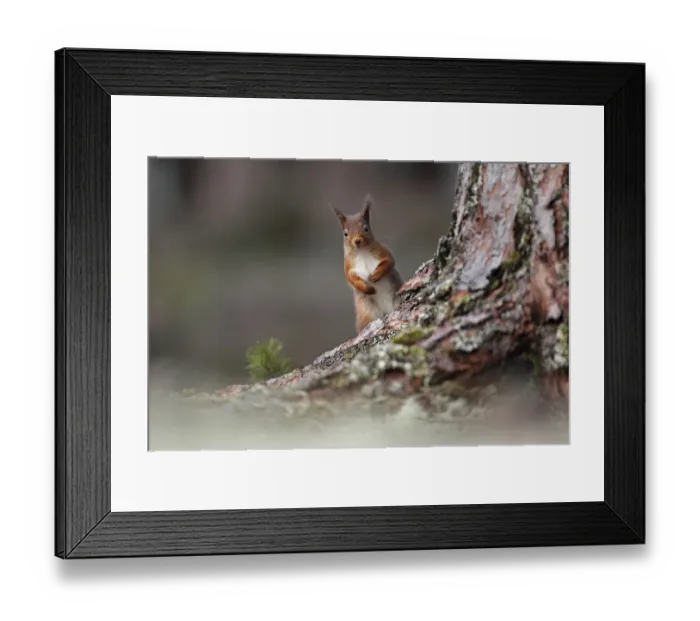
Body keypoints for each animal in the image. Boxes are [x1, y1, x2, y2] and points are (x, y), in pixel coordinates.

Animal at [332, 194, 404, 334]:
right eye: (345, 234)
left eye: (366, 228)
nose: (357, 241)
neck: (362, 252)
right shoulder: (348, 266)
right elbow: (351, 279)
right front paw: (367, 288)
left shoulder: (383, 252)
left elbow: (389, 262)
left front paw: (376, 275)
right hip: (367, 310)